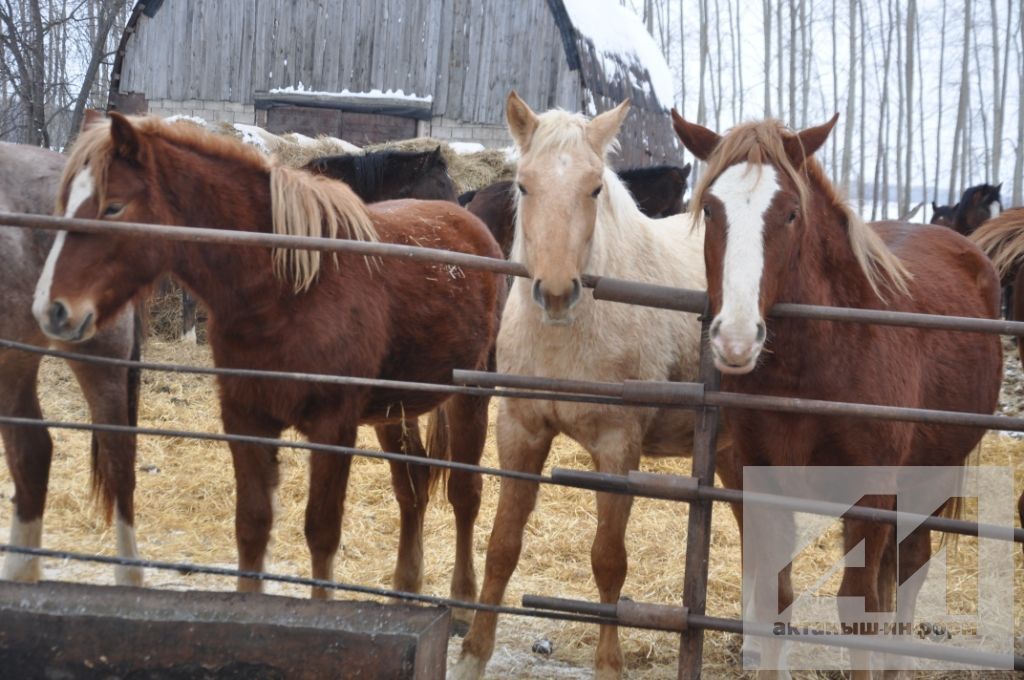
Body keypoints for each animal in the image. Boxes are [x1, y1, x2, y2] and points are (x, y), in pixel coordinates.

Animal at [35, 111, 503, 626]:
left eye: (114, 206)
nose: (54, 309)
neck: (288, 289)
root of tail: (474, 232)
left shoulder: (333, 427)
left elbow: (322, 531)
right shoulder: (247, 419)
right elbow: (253, 526)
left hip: (470, 400)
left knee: (464, 494)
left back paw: (463, 604)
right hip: (394, 412)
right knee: (413, 489)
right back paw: (405, 590)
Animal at [671, 111, 999, 675]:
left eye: (790, 213)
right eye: (711, 208)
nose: (735, 339)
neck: (817, 369)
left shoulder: (869, 496)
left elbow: (858, 611)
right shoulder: (761, 484)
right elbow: (775, 600)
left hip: (931, 475)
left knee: (911, 569)